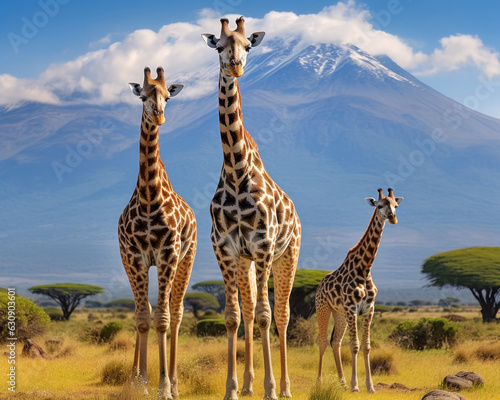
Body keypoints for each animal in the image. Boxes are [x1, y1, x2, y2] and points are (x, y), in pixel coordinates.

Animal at [202, 16, 300, 400]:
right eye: (218, 46)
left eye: (248, 46)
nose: (236, 66)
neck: (235, 170)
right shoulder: (226, 249)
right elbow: (234, 316)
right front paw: (231, 388)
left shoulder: (265, 247)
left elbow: (265, 317)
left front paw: (271, 389)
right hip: (246, 262)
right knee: (248, 310)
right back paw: (247, 384)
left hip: (287, 255)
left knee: (282, 314)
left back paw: (285, 387)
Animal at [318, 189, 404, 392]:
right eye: (379, 205)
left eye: (395, 205)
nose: (392, 217)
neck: (364, 269)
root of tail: (320, 284)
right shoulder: (352, 309)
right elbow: (355, 345)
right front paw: (355, 386)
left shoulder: (368, 310)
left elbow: (366, 346)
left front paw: (370, 386)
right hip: (323, 308)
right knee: (322, 341)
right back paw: (319, 381)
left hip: (339, 313)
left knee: (335, 342)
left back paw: (341, 383)